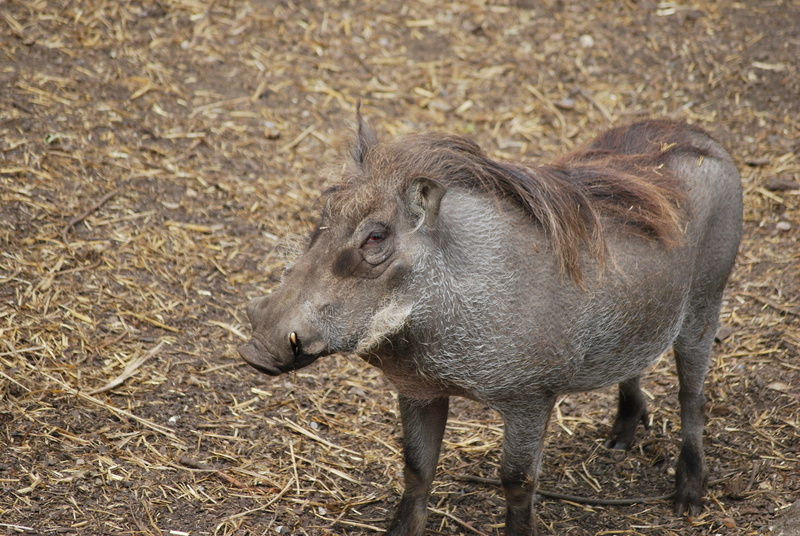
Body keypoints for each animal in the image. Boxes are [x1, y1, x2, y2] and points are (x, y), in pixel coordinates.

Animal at [239, 113, 743, 535]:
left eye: (376, 236)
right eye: (323, 218)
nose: (255, 350)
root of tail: (702, 136)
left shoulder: (530, 400)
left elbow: (517, 482)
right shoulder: (418, 390)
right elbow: (417, 469)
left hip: (704, 306)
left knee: (693, 398)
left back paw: (688, 497)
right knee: (635, 366)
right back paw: (620, 436)